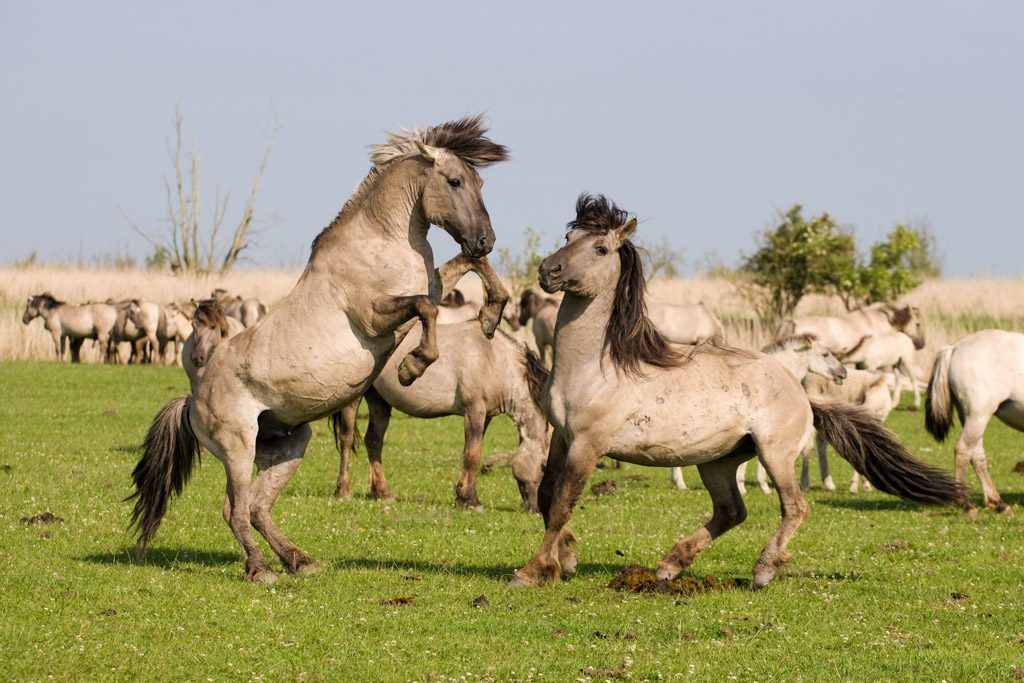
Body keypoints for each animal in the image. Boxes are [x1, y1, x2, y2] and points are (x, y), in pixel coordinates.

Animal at [128, 116, 512, 581]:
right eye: (455, 181)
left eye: (479, 182)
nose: (485, 238)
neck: (380, 241)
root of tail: (191, 399)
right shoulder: (375, 315)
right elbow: (425, 308)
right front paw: (412, 366)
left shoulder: (434, 283)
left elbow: (468, 271)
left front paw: (491, 316)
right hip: (238, 447)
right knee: (234, 510)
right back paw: (261, 569)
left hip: (289, 445)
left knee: (256, 508)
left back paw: (300, 560)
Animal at [329, 323, 552, 509]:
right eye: (543, 466)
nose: (537, 508)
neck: (493, 359)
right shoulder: (474, 410)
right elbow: (473, 455)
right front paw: (472, 501)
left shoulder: (484, 415)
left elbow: (467, 452)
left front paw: (461, 496)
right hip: (354, 401)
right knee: (347, 440)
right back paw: (343, 491)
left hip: (379, 401)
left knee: (374, 441)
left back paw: (383, 492)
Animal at [925, 329, 1019, 511]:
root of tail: (955, 347)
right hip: (978, 415)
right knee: (963, 450)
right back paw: (965, 504)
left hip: (969, 416)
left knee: (976, 455)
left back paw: (997, 503)